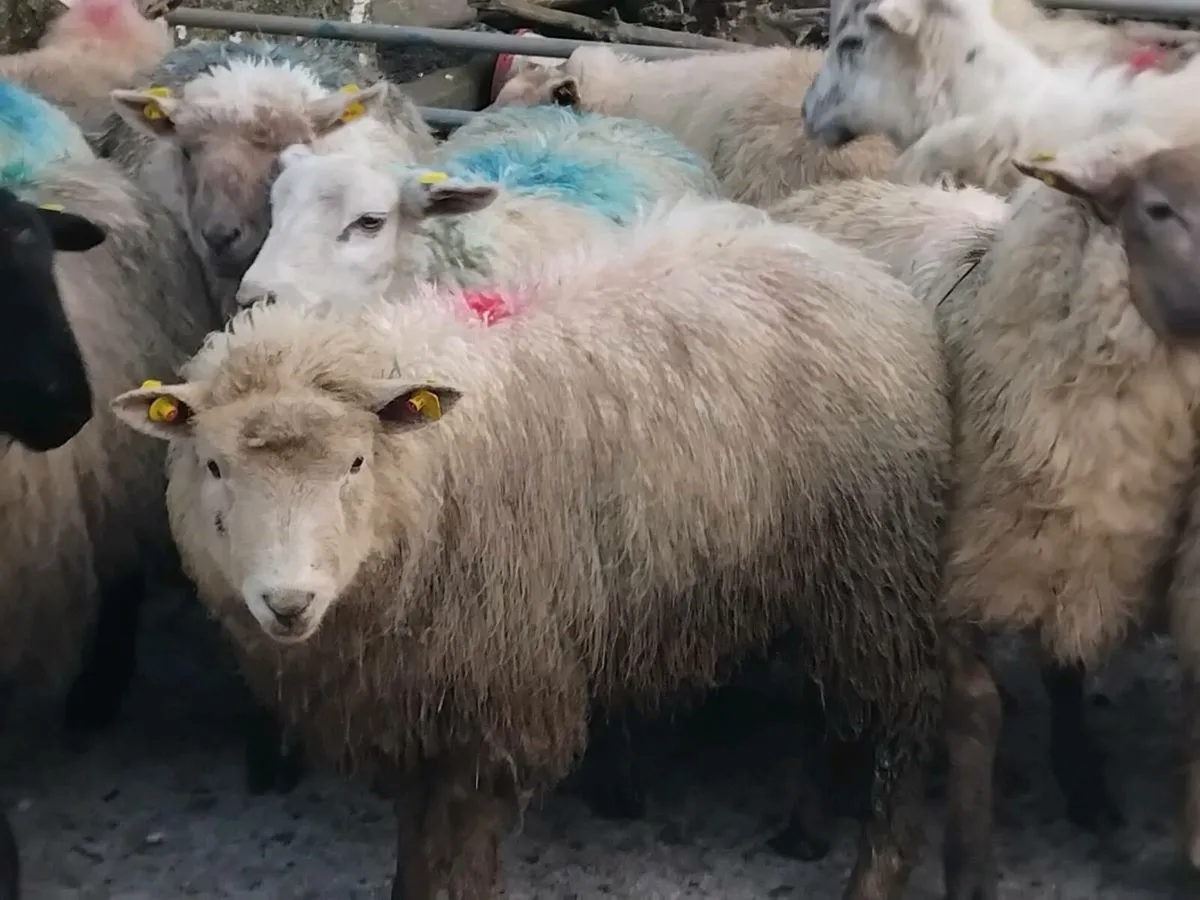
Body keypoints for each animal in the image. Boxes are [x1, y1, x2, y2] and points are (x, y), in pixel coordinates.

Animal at [112, 195, 952, 900]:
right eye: (213, 466)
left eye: (355, 463)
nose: (287, 603)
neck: (429, 474)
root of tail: (845, 261)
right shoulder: (410, 693)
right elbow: (415, 842)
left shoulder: (502, 692)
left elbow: (461, 854)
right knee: (841, 712)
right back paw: (804, 830)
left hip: (877, 565)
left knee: (898, 731)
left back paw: (872, 873)